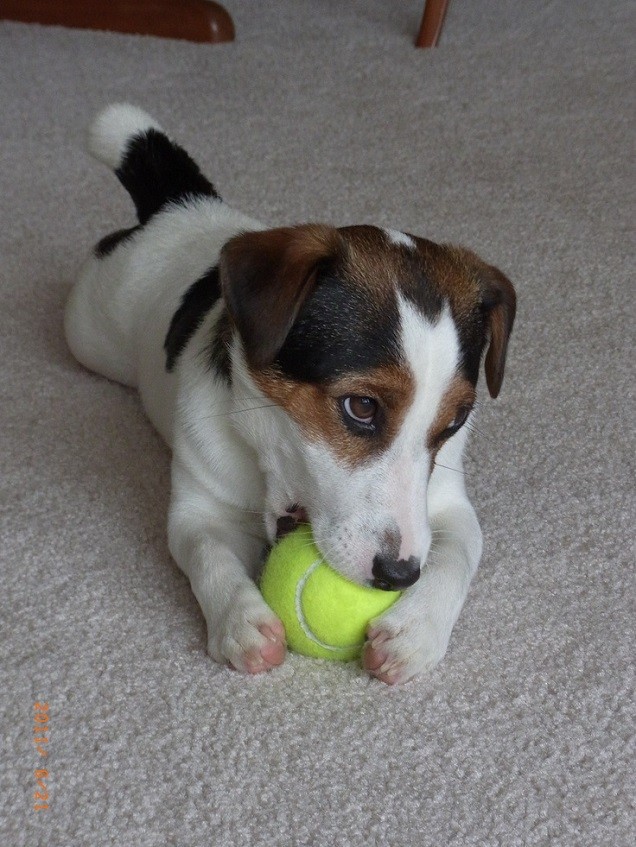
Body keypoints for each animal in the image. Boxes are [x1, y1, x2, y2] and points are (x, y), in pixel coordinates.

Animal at [64, 106, 516, 684]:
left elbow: (458, 553)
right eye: (362, 406)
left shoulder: (449, 505)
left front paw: (416, 629)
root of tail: (185, 205)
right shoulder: (199, 508)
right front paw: (242, 622)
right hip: (87, 333)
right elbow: (209, 555)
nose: (398, 575)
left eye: (454, 423)